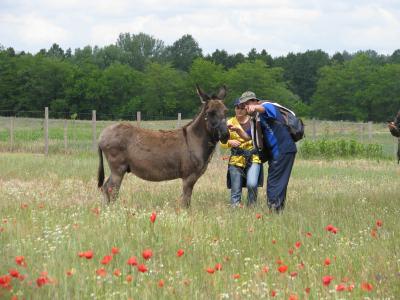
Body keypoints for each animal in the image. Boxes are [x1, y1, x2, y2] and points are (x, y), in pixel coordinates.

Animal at [95, 84, 230, 206]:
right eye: (211, 113)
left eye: (225, 111)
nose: (225, 135)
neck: (194, 139)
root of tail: (102, 135)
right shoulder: (188, 177)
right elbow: (186, 201)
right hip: (118, 169)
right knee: (111, 190)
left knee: (106, 188)